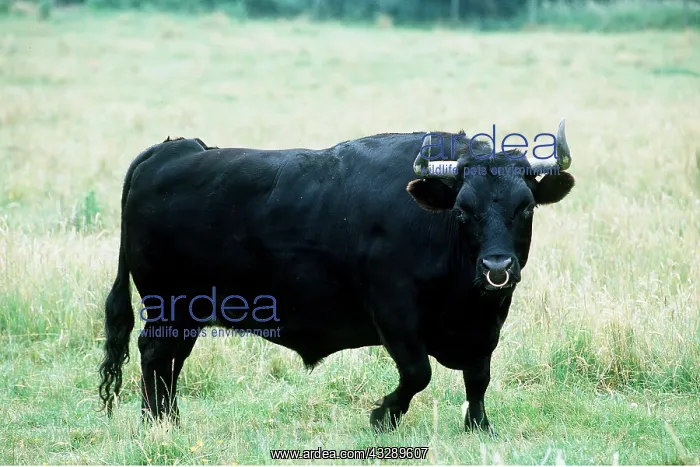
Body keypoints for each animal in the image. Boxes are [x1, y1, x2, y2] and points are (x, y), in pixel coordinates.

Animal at [98, 119, 575, 435]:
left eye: (526, 207)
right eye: (462, 210)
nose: (498, 268)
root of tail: (175, 149)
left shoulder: (487, 323)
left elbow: (478, 377)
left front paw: (479, 426)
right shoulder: (395, 312)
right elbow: (417, 373)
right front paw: (382, 416)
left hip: (189, 313)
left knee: (172, 361)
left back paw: (169, 419)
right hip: (167, 305)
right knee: (155, 354)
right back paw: (156, 422)